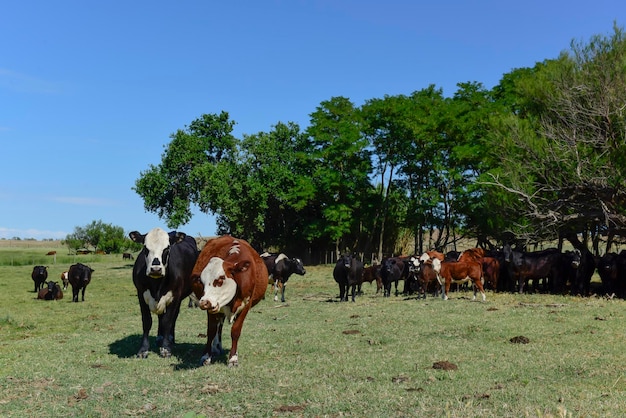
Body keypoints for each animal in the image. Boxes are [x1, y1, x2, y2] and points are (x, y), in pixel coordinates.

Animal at [130, 227, 199, 358]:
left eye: (167, 249)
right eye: (145, 248)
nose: (156, 269)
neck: (156, 286)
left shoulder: (175, 296)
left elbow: (167, 321)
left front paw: (166, 348)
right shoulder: (141, 295)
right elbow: (147, 322)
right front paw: (143, 349)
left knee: (172, 318)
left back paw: (170, 338)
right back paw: (159, 338)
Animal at [190, 235, 268, 366]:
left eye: (221, 278)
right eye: (201, 281)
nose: (204, 302)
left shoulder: (245, 306)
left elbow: (235, 331)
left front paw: (233, 358)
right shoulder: (212, 309)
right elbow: (211, 331)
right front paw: (206, 356)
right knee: (218, 327)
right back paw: (216, 347)